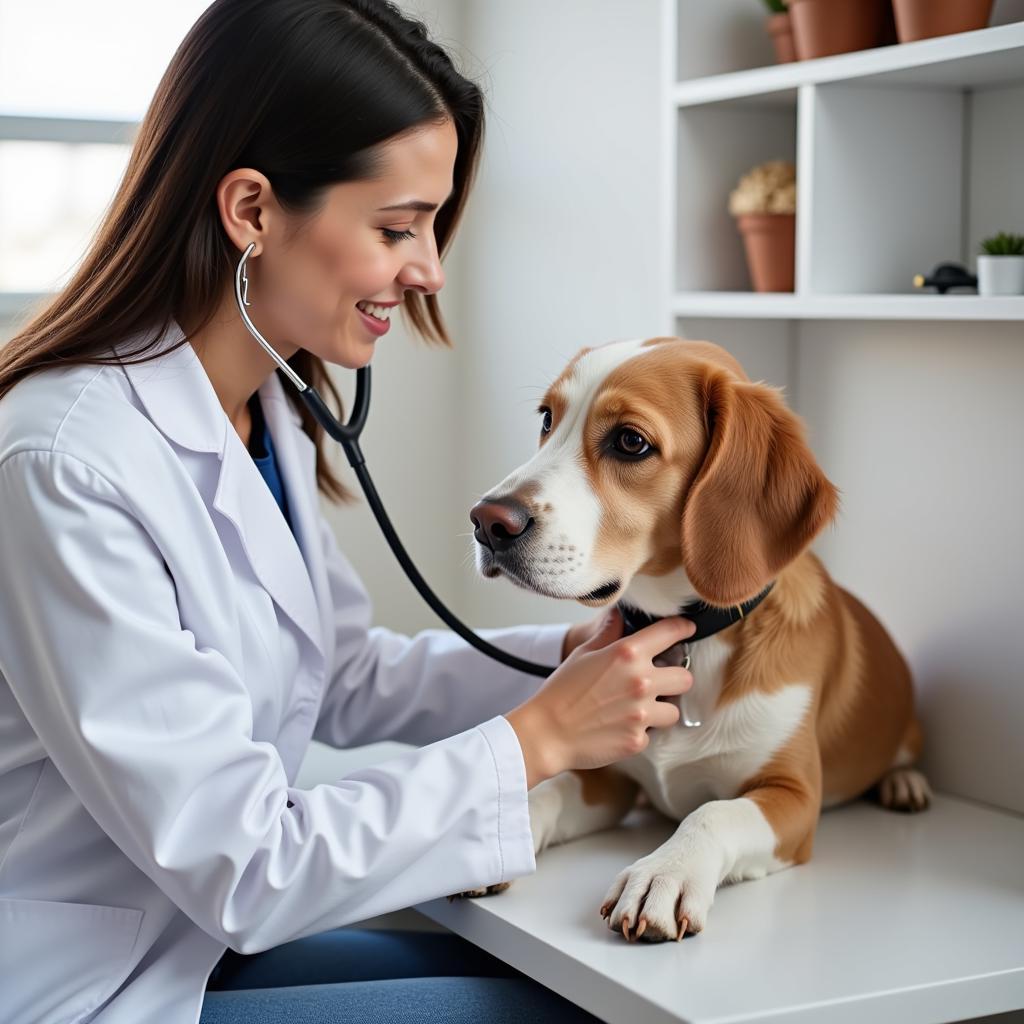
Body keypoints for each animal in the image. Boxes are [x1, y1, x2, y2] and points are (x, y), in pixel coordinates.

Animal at [468, 337, 933, 942]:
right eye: (548, 419)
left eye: (631, 441)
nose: (486, 521)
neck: (690, 638)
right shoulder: (610, 782)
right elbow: (545, 791)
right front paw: (494, 837)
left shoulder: (794, 796)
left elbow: (712, 812)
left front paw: (663, 872)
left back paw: (905, 783)